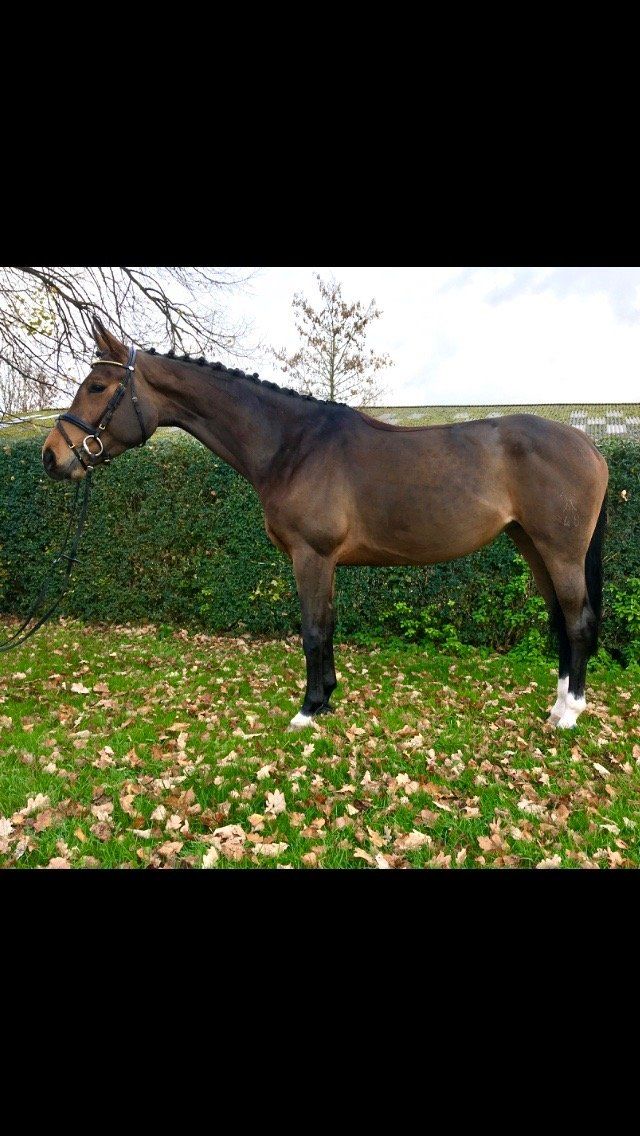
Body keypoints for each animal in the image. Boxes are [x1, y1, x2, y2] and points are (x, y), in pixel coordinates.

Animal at [42, 318, 609, 730]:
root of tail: (588, 444)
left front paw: (308, 709)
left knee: (577, 620)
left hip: (560, 552)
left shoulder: (310, 555)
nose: (52, 457)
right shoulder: (325, 561)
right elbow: (329, 624)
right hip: (532, 545)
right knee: (560, 620)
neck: (292, 445)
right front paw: (328, 698)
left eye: (97, 386)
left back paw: (570, 715)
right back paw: (558, 704)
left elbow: (313, 629)